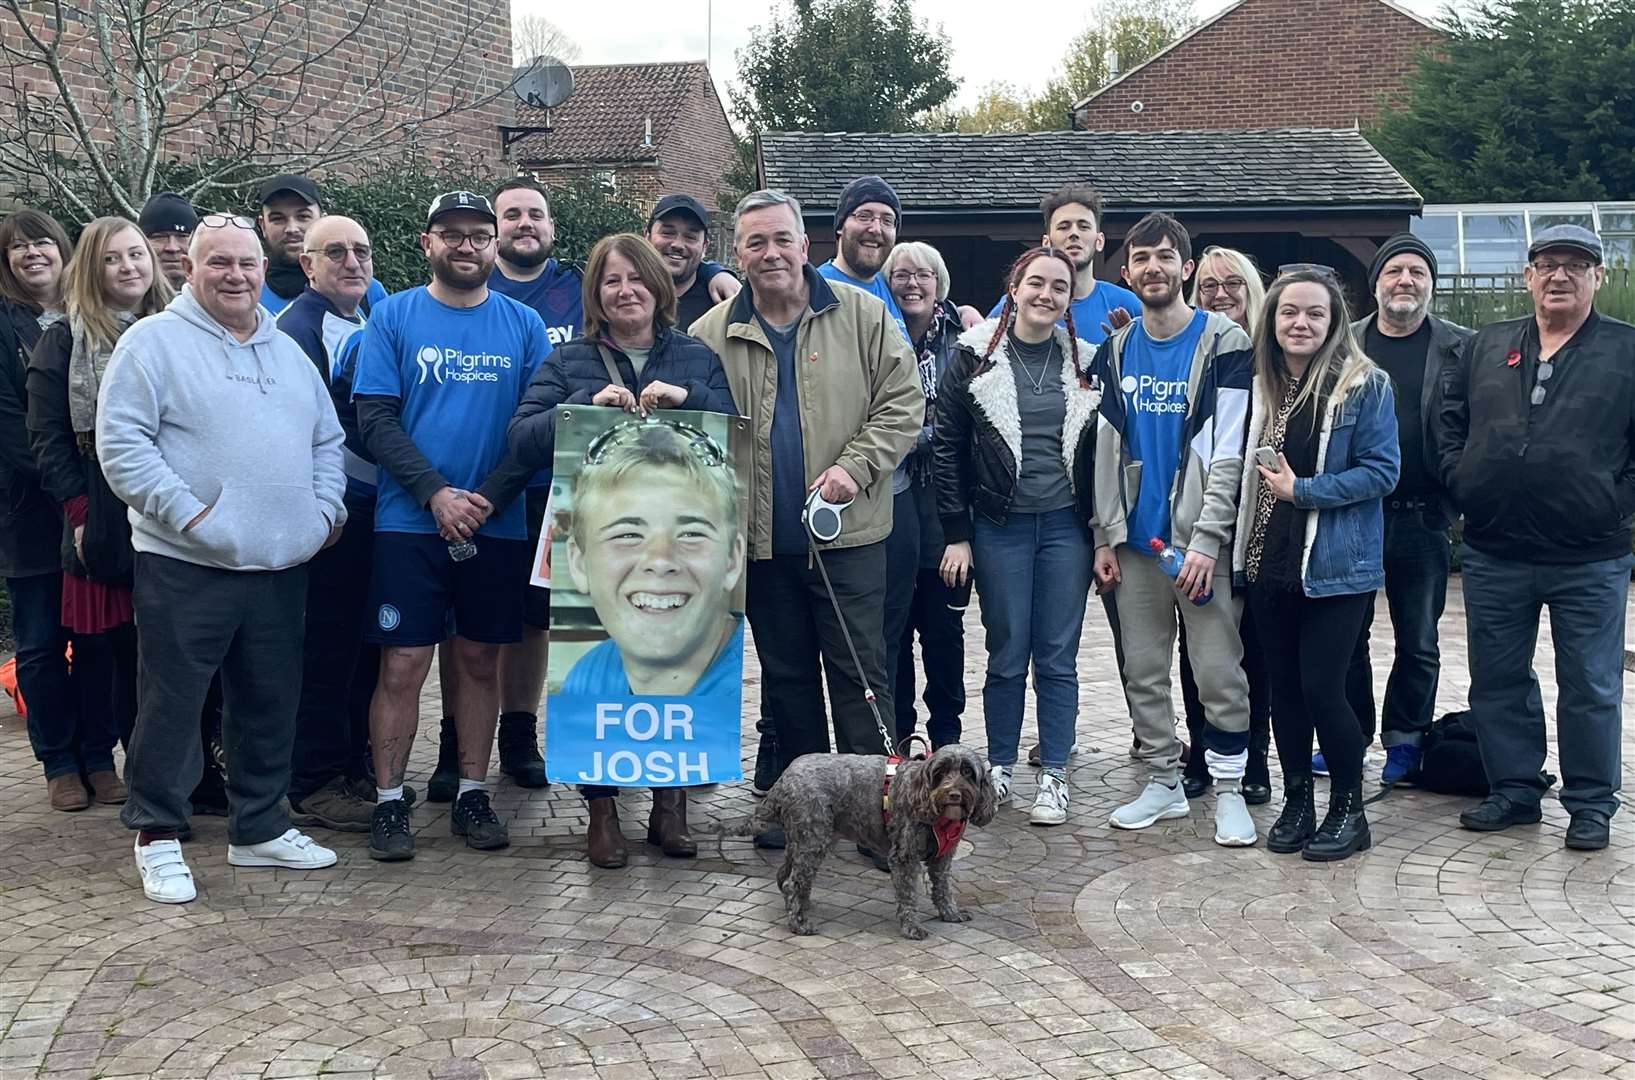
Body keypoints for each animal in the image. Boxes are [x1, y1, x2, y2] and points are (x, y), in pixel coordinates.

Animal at [745, 741, 994, 934]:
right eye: (940, 772)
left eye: (968, 772)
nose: (954, 794)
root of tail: (785, 776)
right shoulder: (904, 857)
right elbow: (908, 894)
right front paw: (911, 926)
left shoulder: (942, 858)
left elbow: (943, 887)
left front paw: (950, 913)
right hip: (813, 840)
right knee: (792, 882)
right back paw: (799, 923)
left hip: (805, 838)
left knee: (785, 874)